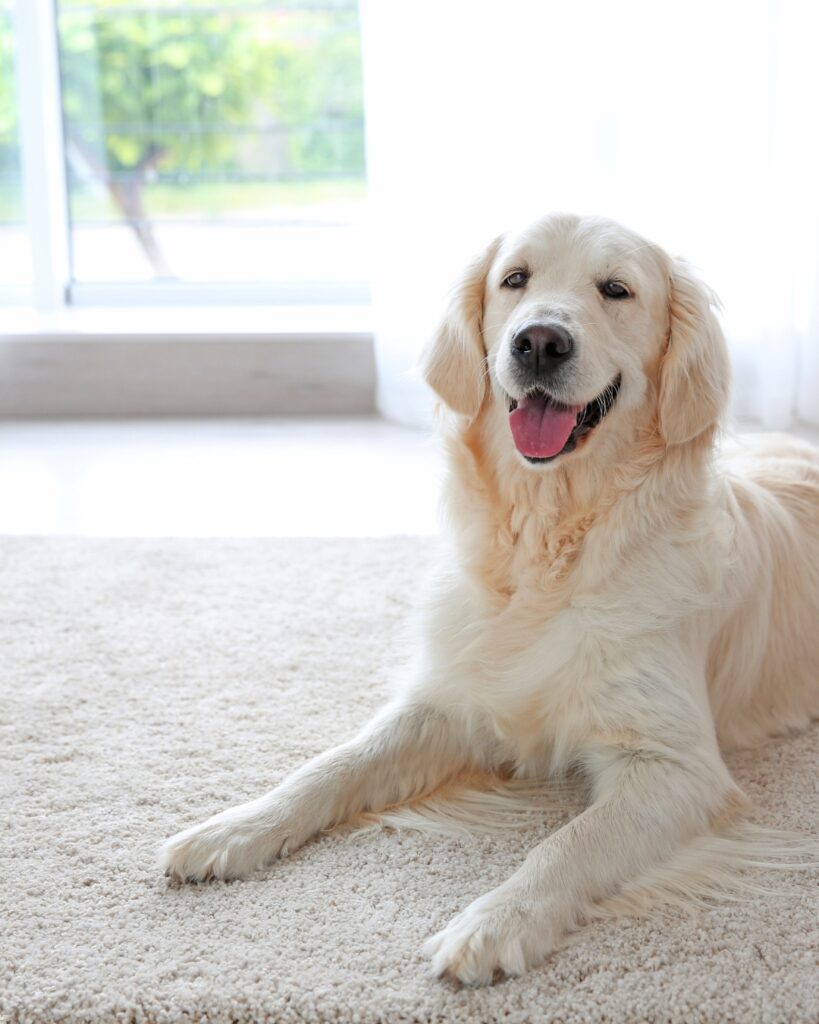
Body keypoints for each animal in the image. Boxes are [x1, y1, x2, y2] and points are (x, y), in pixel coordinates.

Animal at [159, 214, 818, 983]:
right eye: (514, 280)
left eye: (616, 289)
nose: (539, 341)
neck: (546, 546)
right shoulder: (449, 699)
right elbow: (333, 764)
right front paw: (236, 826)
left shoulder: (674, 766)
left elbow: (570, 843)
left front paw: (496, 922)